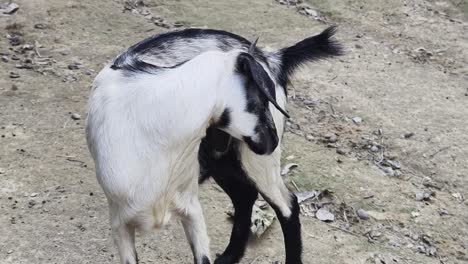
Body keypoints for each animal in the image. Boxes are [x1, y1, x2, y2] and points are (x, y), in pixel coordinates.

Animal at [86, 26, 340, 264]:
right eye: (261, 100)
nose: (274, 141)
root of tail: (272, 57)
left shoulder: (192, 210)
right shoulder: (120, 223)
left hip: (255, 163)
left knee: (287, 206)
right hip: (221, 159)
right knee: (245, 196)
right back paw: (230, 256)